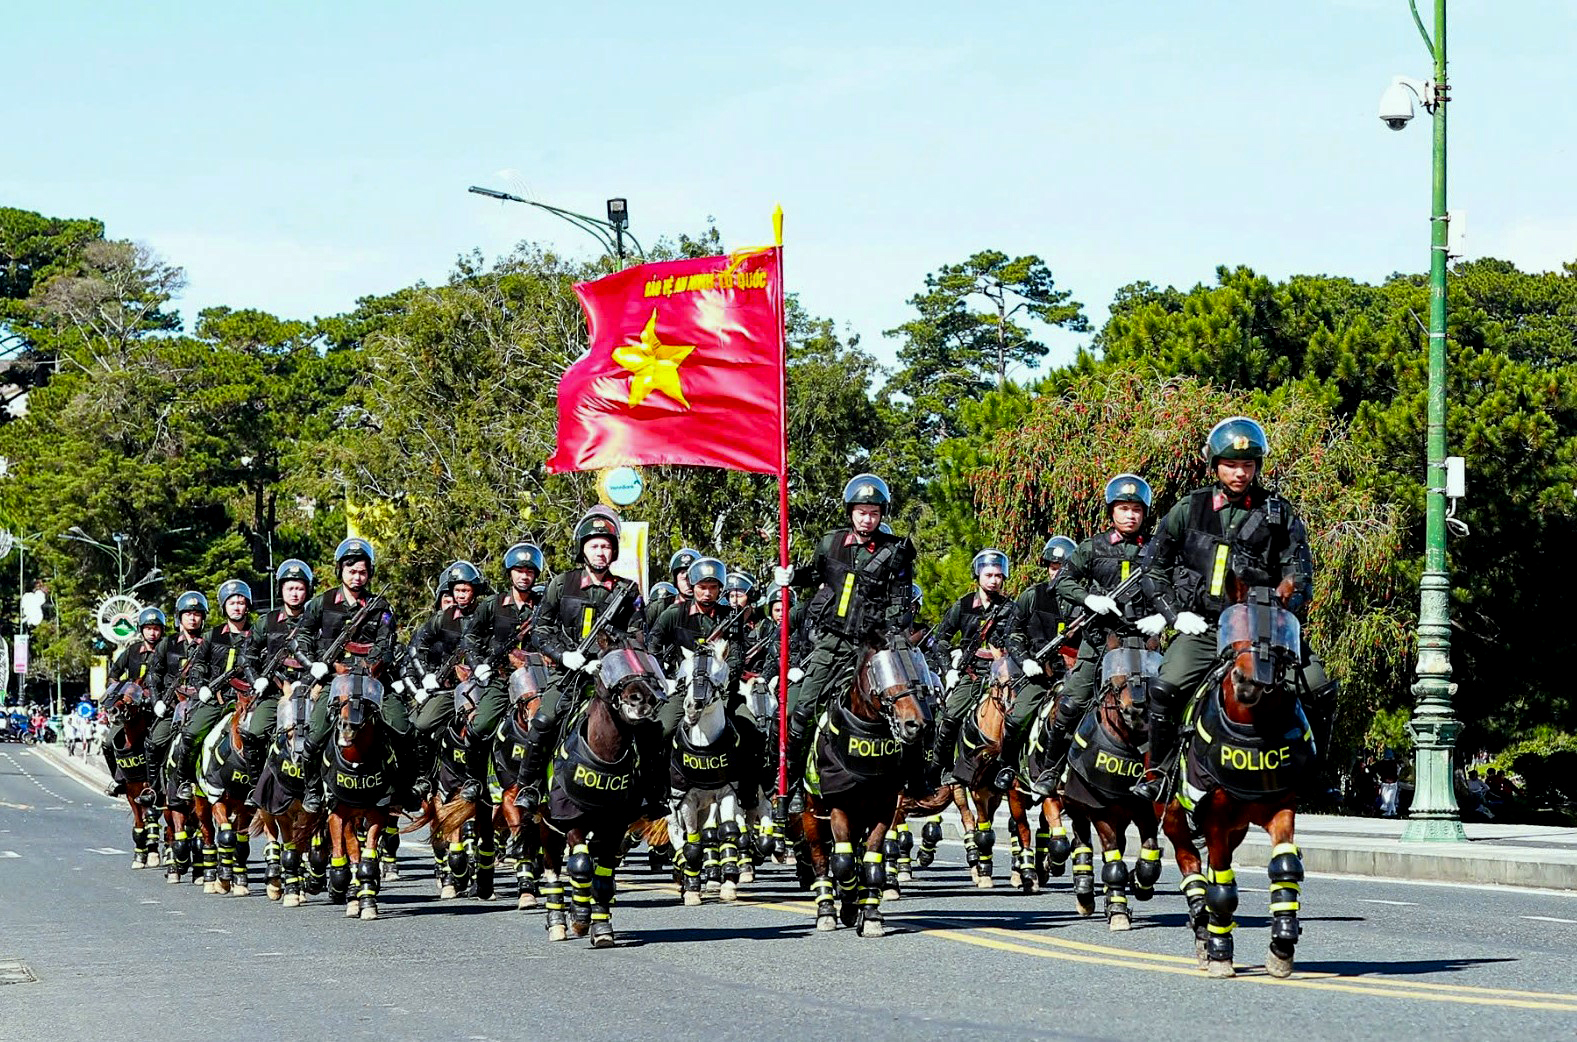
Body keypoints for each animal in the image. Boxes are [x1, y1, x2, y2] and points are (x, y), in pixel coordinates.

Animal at [101, 677, 158, 863]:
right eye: (110, 694)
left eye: (130, 696)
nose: (112, 712)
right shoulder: (132, 793)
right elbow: (139, 824)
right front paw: (140, 855)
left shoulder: (152, 791)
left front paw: (152, 853)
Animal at [794, 643, 927, 933]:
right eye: (881, 670)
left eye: (914, 666)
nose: (914, 724)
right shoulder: (839, 808)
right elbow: (842, 864)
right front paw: (847, 905)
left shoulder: (883, 810)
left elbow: (870, 863)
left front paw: (870, 913)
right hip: (811, 813)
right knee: (821, 858)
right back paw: (826, 909)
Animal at [1166, 580, 1312, 977]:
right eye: (1232, 627)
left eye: (1281, 627)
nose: (1248, 681)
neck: (1252, 726)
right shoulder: (1213, 817)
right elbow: (1222, 889)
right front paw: (1219, 951)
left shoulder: (1280, 808)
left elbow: (1285, 867)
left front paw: (1282, 944)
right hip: (1173, 816)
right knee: (1191, 865)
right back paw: (1204, 932)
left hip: (1238, 827)